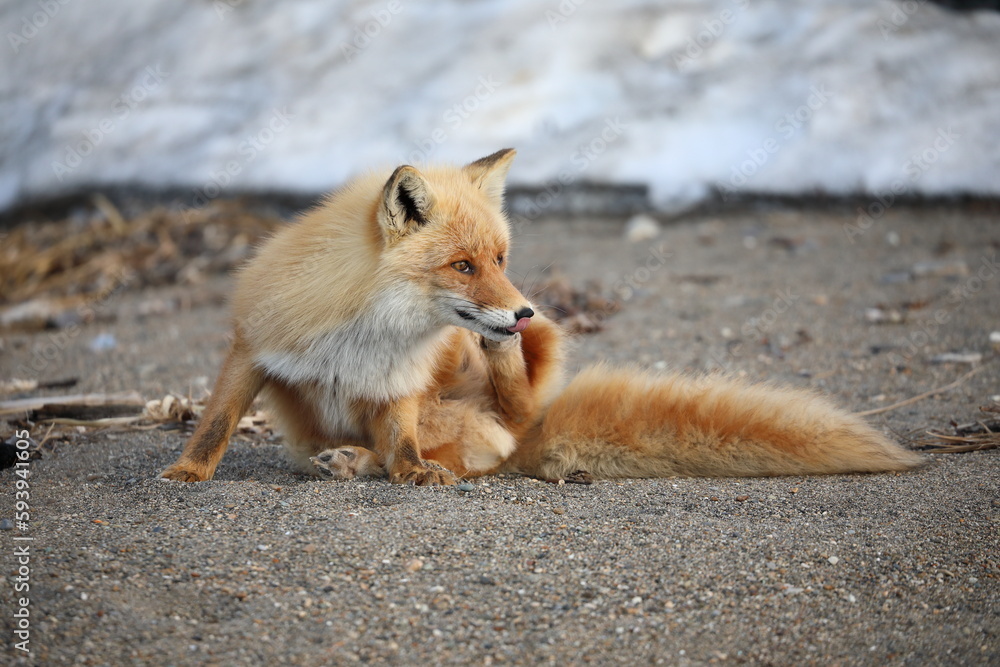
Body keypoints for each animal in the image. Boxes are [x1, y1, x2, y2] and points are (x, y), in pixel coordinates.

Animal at [160, 148, 923, 486]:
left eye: (499, 256)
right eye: (463, 266)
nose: (521, 310)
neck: (367, 331)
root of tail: (534, 431)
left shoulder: (403, 385)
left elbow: (401, 444)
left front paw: (406, 471)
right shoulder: (253, 342)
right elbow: (218, 419)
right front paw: (188, 473)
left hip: (502, 394)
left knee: (495, 435)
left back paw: (369, 454)